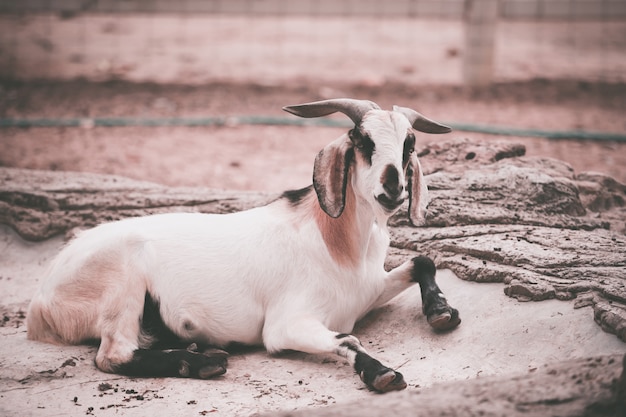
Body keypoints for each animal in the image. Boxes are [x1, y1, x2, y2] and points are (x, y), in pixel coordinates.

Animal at [26, 99, 458, 392]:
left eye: (409, 145)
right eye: (362, 141)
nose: (393, 189)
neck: (338, 246)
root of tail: (40, 305)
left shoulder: (370, 289)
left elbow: (422, 260)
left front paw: (442, 312)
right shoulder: (285, 324)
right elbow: (346, 338)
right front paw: (382, 373)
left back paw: (197, 353)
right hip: (122, 284)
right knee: (112, 355)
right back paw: (203, 363)